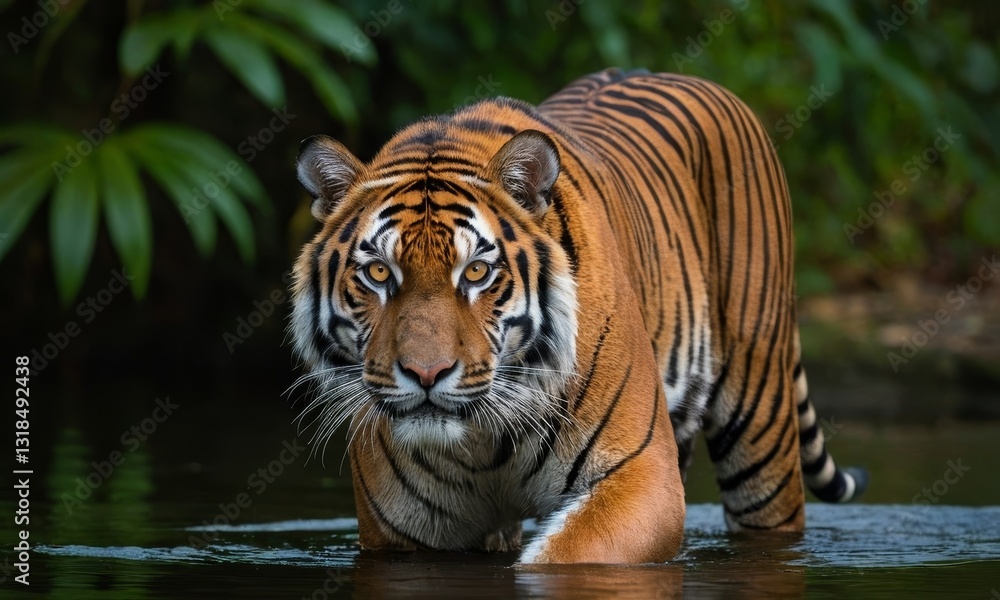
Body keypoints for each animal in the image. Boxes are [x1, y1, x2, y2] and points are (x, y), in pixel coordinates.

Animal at [288, 68, 866, 564]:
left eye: (475, 272)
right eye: (378, 273)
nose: (426, 374)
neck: (484, 444)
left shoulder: (641, 477)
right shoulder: (406, 534)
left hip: (760, 422)